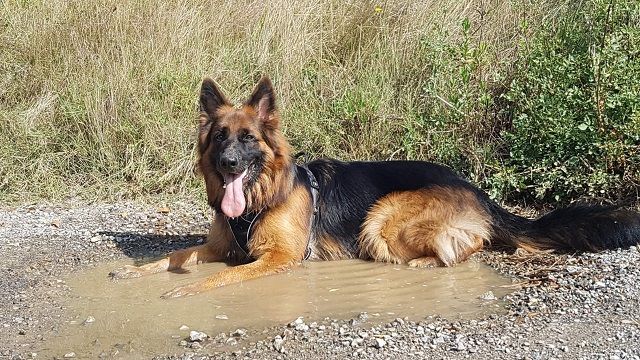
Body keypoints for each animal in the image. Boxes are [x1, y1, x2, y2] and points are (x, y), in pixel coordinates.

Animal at [110, 76, 640, 298]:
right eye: (220, 136)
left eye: (248, 139)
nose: (228, 162)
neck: (262, 196)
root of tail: (474, 188)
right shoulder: (220, 245)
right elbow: (176, 254)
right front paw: (133, 272)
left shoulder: (279, 258)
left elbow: (221, 277)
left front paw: (187, 290)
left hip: (383, 217)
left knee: (466, 247)